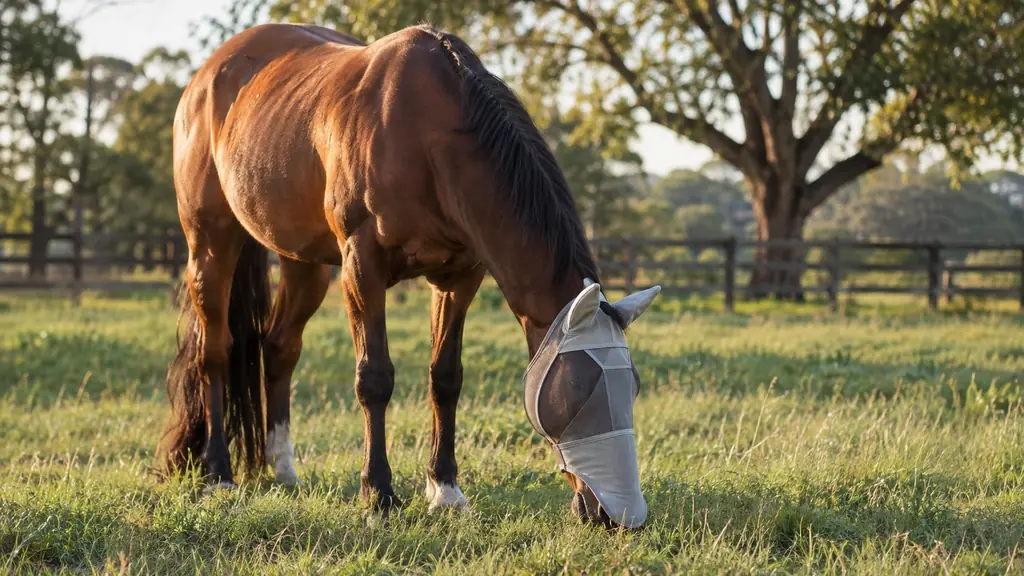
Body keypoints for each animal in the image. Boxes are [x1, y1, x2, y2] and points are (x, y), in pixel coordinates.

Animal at [159, 22, 660, 528]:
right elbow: (374, 378)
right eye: (579, 386)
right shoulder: (362, 267)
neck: (427, 132)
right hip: (211, 246)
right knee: (215, 354)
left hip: (304, 263)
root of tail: (209, 74)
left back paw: (282, 468)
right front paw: (378, 495)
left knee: (279, 347)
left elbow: (446, 378)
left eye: (634, 385)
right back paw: (219, 475)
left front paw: (445, 489)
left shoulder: (459, 278)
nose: (619, 516)